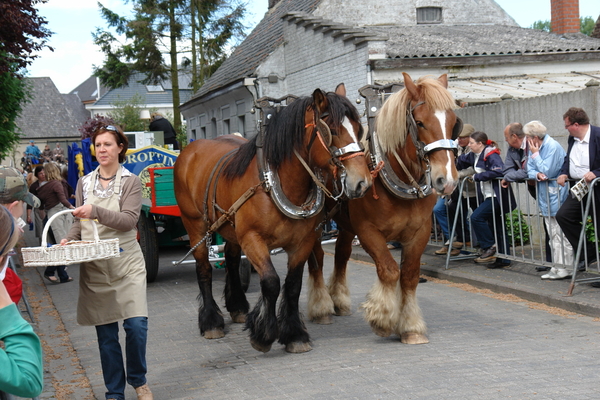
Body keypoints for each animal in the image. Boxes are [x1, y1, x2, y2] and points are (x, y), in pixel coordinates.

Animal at [173, 85, 370, 354]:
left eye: (359, 129)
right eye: (332, 130)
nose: (361, 183)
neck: (277, 183)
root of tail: (190, 150)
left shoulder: (302, 242)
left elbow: (293, 285)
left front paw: (295, 335)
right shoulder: (253, 239)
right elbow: (271, 282)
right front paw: (264, 334)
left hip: (230, 227)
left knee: (231, 260)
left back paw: (238, 307)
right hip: (195, 225)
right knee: (203, 268)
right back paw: (211, 323)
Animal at [308, 72, 462, 344]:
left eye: (454, 123)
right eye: (420, 123)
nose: (448, 181)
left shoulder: (419, 232)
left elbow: (409, 275)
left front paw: (411, 327)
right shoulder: (368, 231)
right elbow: (389, 270)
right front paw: (382, 319)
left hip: (345, 226)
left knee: (341, 254)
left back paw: (338, 300)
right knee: (316, 258)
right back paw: (321, 308)